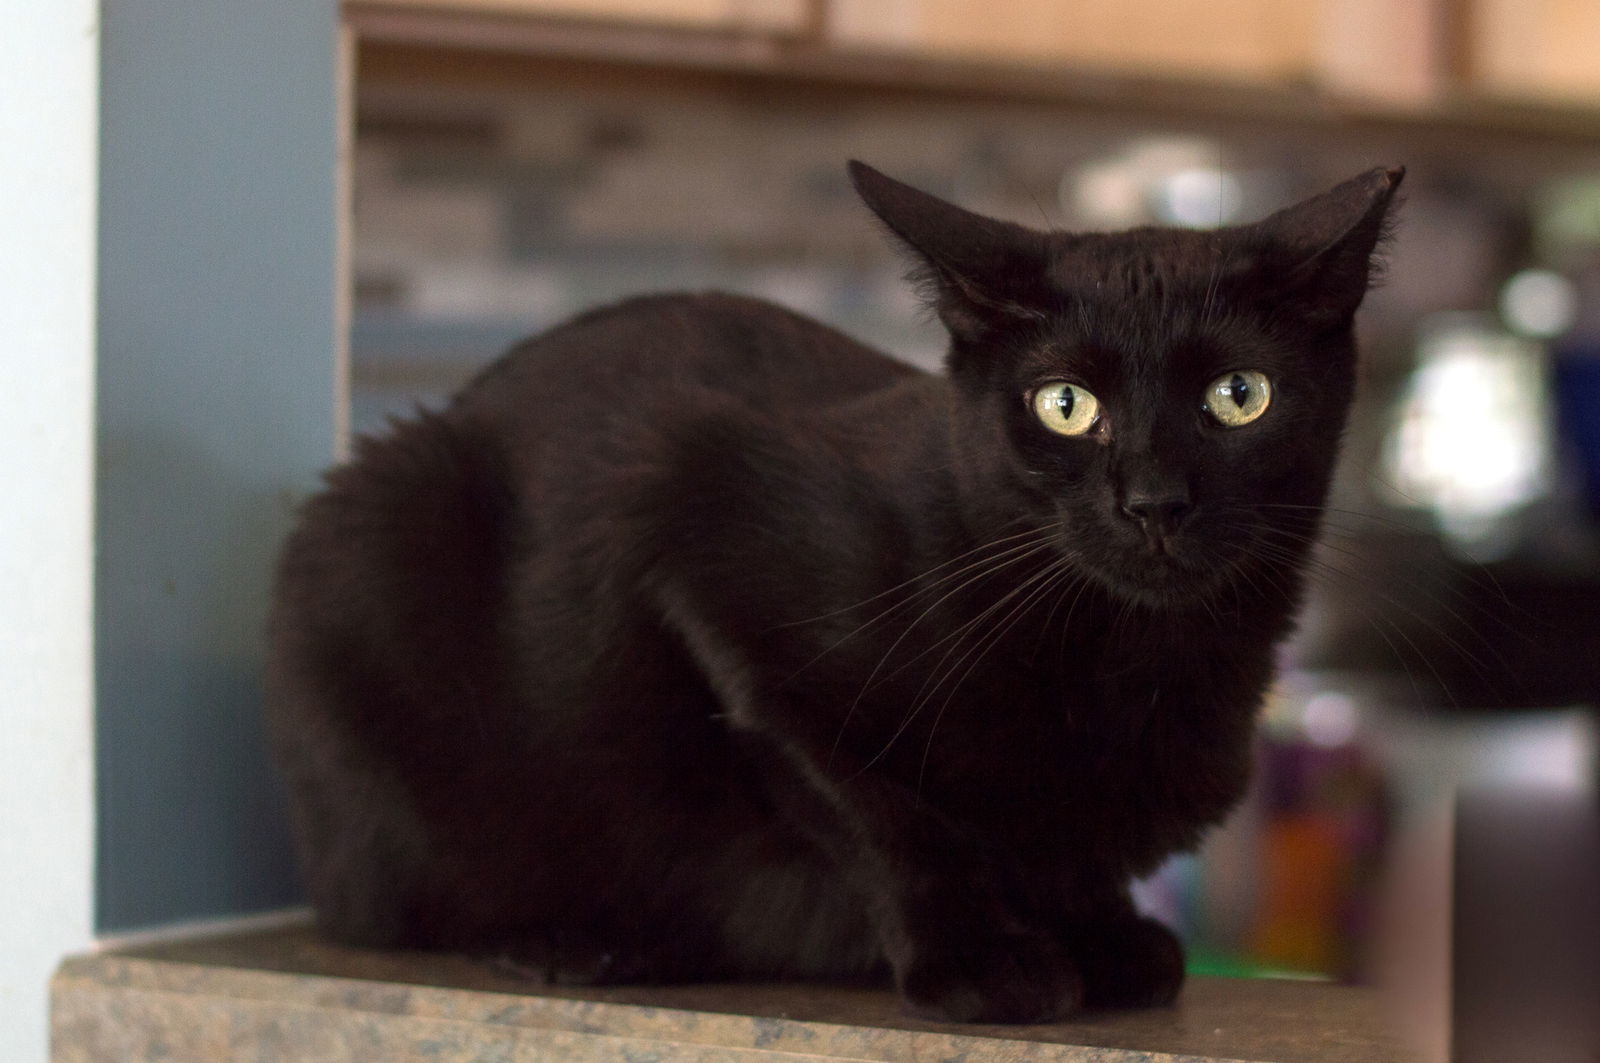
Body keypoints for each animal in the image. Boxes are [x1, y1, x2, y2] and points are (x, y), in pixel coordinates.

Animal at [272, 161, 1401, 1024]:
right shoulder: (692, 542)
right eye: (1065, 405)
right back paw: (574, 937)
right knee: (397, 902)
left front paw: (1101, 933)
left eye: (1239, 397)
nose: (1154, 502)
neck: (1129, 659)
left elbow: (1064, 853)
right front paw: (980, 960)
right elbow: (876, 811)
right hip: (366, 541)